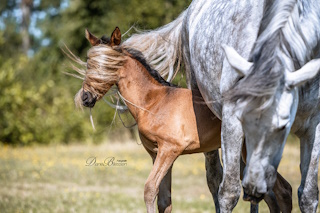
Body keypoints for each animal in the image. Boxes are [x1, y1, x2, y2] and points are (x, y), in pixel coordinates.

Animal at [71, 27, 292, 212]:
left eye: (108, 65)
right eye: (89, 64)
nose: (86, 98)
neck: (154, 102)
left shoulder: (170, 150)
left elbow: (150, 190)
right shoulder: (156, 153)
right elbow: (164, 200)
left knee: (282, 191)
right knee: (277, 194)